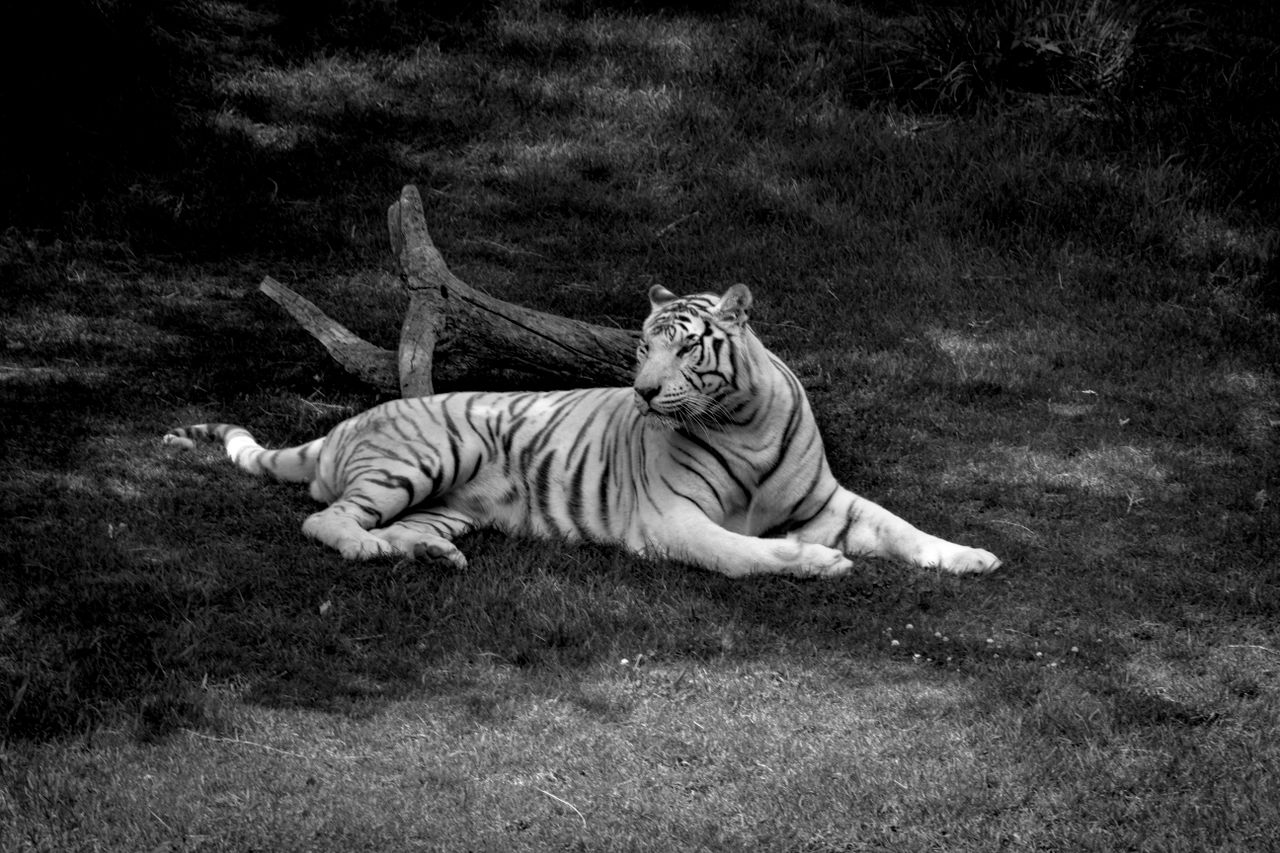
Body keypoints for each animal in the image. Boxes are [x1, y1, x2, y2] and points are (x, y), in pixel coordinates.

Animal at [163, 284, 1001, 579]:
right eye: (640, 349)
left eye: (684, 347)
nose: (643, 390)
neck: (743, 418)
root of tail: (345, 426)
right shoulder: (670, 517)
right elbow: (739, 551)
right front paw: (814, 562)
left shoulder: (830, 502)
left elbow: (902, 526)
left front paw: (971, 555)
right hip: (428, 454)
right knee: (326, 519)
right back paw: (375, 549)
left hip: (446, 502)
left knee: (392, 524)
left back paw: (432, 553)